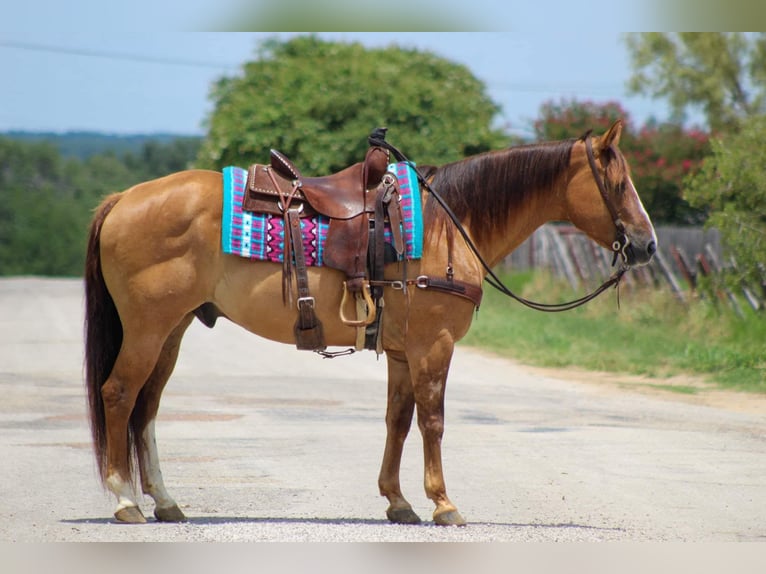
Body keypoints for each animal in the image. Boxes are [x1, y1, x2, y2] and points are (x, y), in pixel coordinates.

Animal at [83, 120, 657, 526]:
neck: (449, 225)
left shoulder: (403, 352)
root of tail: (123, 199)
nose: (647, 244)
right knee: (119, 395)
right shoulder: (433, 346)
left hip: (172, 330)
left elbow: (397, 421)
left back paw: (164, 501)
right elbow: (432, 421)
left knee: (146, 408)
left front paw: (398, 502)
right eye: (618, 183)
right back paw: (124, 500)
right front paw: (443, 504)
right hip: (148, 330)